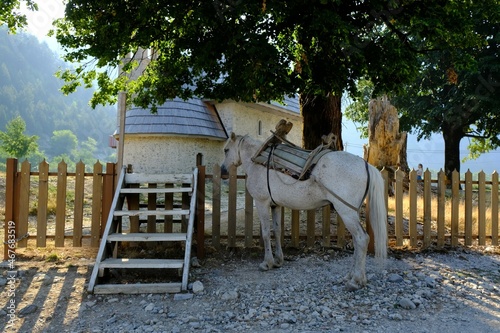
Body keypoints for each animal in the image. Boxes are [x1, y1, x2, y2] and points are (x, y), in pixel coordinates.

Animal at [221, 131, 388, 290]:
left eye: (226, 150)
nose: (223, 171)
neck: (256, 159)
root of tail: (366, 166)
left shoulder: (262, 203)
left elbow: (266, 233)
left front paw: (267, 263)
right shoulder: (275, 205)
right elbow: (277, 231)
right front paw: (278, 260)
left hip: (346, 211)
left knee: (361, 239)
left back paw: (356, 281)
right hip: (350, 213)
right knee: (356, 241)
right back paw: (350, 276)